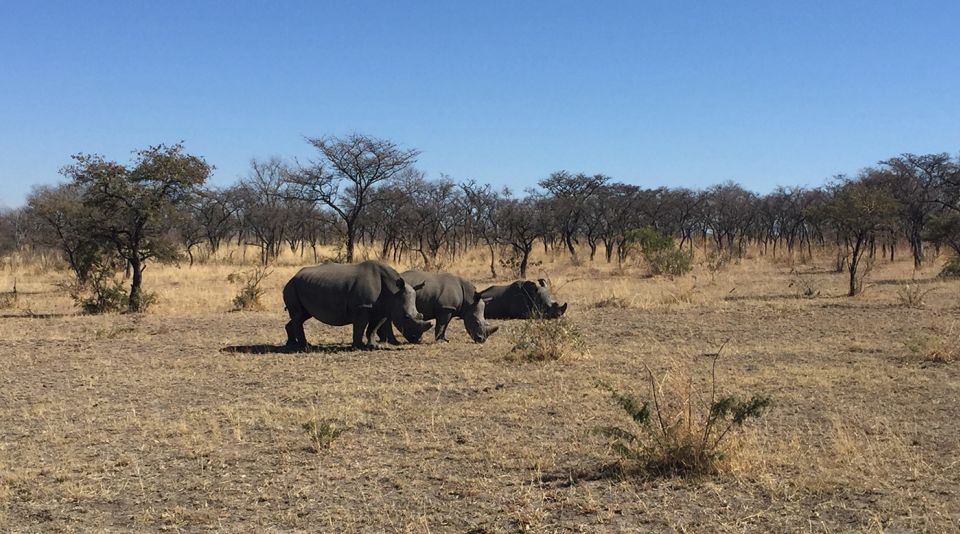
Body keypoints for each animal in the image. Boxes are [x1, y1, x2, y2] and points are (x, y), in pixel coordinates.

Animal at [282, 260, 433, 350]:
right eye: (406, 316)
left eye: (420, 315)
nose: (417, 340)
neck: (393, 291)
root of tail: (293, 277)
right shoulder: (362, 307)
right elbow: (360, 326)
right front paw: (358, 346)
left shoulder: (383, 309)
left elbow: (373, 328)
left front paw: (373, 346)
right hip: (292, 286)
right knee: (298, 316)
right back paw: (304, 347)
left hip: (300, 285)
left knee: (302, 315)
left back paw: (292, 344)